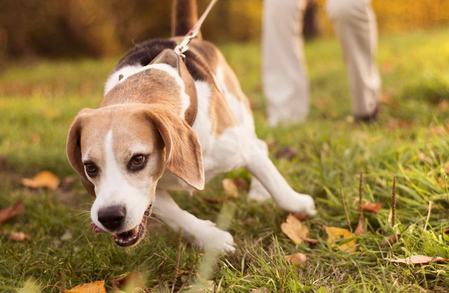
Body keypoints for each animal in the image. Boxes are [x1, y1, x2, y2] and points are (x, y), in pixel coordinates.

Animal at [65, 0, 316, 251]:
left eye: (138, 160)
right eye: (90, 167)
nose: (109, 216)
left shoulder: (241, 149)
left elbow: (279, 188)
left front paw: (301, 205)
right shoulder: (153, 190)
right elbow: (175, 217)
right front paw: (211, 239)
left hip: (240, 114)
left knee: (261, 145)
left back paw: (258, 192)